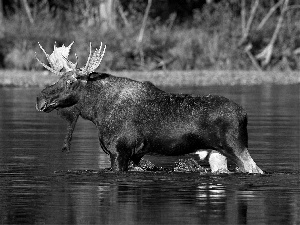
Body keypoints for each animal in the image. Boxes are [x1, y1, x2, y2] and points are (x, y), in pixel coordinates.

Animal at [36, 41, 264, 173]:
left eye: (69, 82)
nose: (40, 99)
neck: (97, 113)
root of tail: (245, 113)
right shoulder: (136, 155)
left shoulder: (119, 151)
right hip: (216, 153)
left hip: (236, 146)